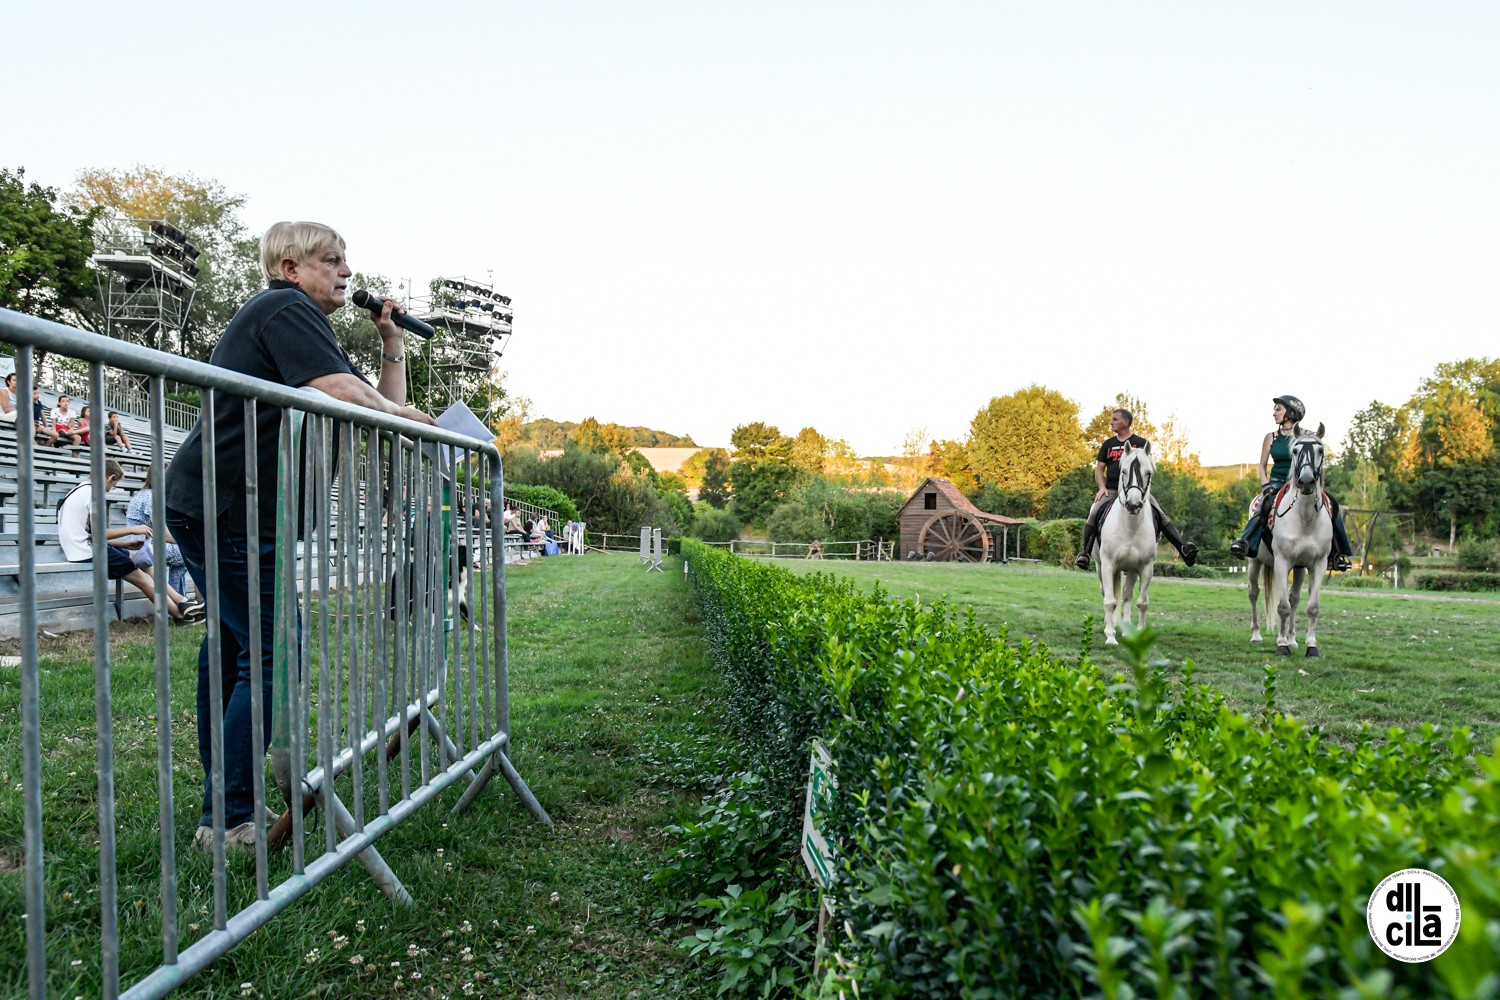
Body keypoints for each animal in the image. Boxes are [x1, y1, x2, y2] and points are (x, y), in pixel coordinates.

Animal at [1092, 440, 1158, 644]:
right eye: (1124, 471)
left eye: (1148, 473)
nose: (1133, 504)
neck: (1130, 527)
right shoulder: (1107, 565)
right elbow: (1109, 601)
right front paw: (1110, 636)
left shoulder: (1145, 567)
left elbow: (1141, 602)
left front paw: (1139, 631)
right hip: (1100, 566)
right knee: (1106, 593)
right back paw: (1109, 627)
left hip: (1130, 570)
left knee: (1127, 595)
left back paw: (1127, 629)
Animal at [1254, 425, 1338, 659]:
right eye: (1295, 450)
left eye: (1320, 450)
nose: (1307, 481)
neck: (1305, 517)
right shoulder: (1282, 562)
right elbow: (1282, 607)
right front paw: (1281, 644)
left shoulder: (1318, 564)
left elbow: (1311, 607)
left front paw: (1311, 645)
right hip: (1254, 562)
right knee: (1254, 593)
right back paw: (1256, 635)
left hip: (1300, 568)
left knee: (1295, 598)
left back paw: (1292, 639)